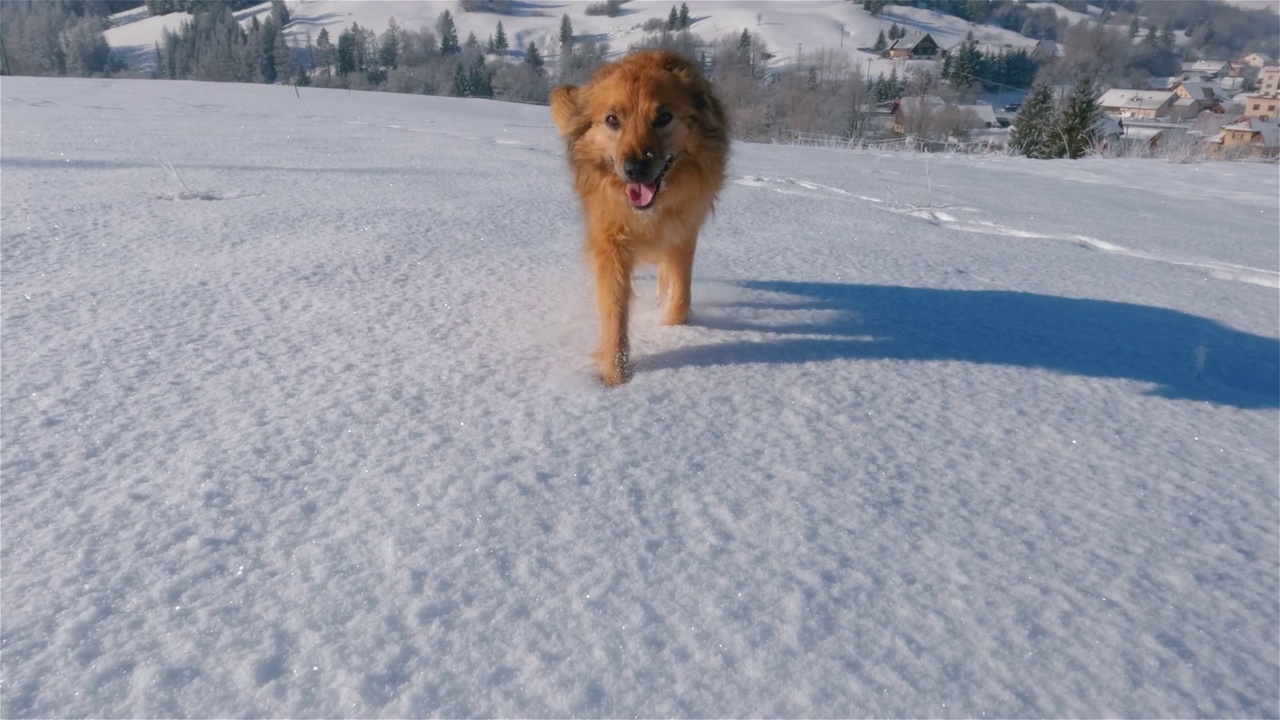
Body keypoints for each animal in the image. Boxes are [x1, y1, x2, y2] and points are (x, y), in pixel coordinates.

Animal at [550, 49, 732, 384]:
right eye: (612, 119)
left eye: (663, 118)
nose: (635, 169)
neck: (648, 213)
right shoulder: (611, 243)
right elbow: (614, 309)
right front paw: (616, 376)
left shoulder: (683, 233)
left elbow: (681, 297)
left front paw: (670, 326)